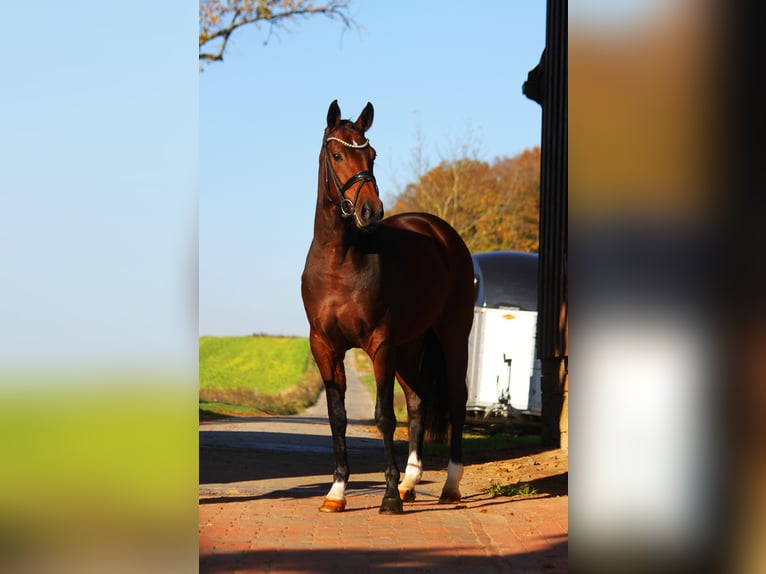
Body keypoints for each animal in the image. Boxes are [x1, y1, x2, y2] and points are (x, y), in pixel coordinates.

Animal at [300, 100, 474, 516]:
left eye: (372, 154)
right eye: (337, 154)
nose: (370, 211)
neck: (340, 263)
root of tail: (442, 233)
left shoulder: (379, 345)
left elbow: (383, 417)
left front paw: (389, 496)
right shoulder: (325, 347)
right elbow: (337, 417)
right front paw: (336, 492)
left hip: (452, 335)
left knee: (456, 399)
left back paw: (449, 486)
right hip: (410, 347)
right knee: (418, 401)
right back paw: (412, 483)